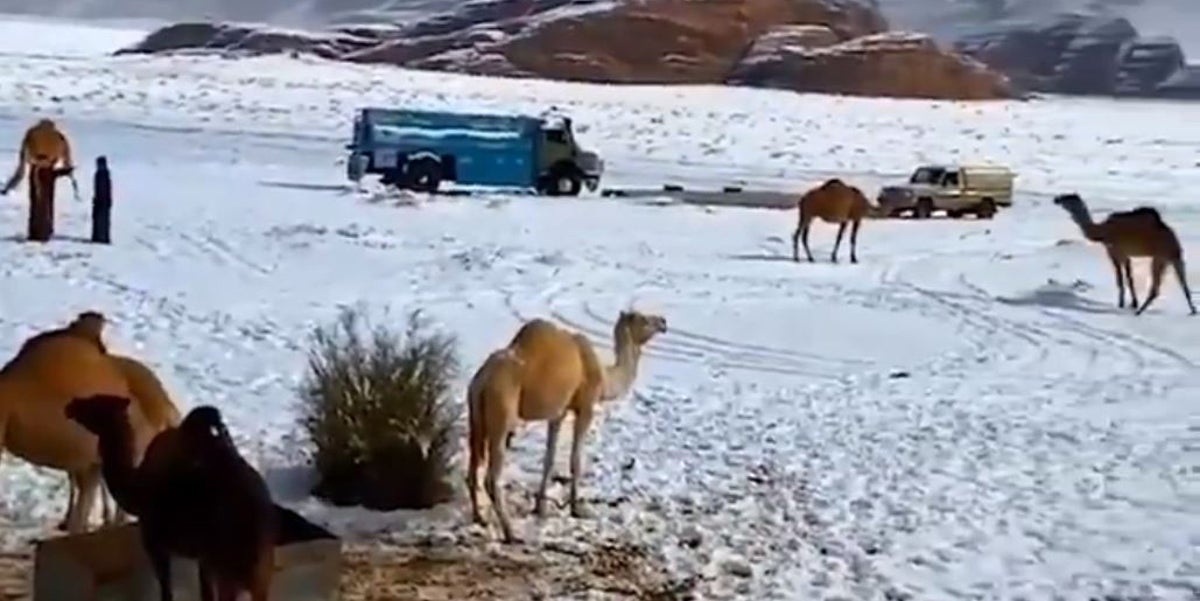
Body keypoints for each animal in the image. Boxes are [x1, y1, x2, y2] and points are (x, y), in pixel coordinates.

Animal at [66, 393, 276, 599]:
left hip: (229, 565)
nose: (72, 405)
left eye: (96, 403)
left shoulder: (157, 546)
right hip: (257, 569)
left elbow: (167, 592)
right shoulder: (202, 558)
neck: (135, 491)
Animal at [463, 309, 667, 539]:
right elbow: (575, 460)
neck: (604, 376)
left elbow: (549, 458)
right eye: (644, 319)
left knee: (473, 464)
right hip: (501, 411)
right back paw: (510, 532)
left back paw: (479, 517)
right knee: (492, 475)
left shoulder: (558, 413)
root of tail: (481, 381)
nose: (663, 322)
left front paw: (540, 508)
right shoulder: (586, 406)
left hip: (475, 416)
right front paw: (576, 509)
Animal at [1056, 193, 1195, 316]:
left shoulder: (1115, 252)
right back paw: (1193, 310)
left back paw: (1139, 312)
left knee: (1156, 288)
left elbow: (1120, 280)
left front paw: (1122, 304)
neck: (1102, 232)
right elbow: (1129, 278)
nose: (1056, 199)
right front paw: (1133, 303)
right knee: (1184, 284)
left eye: (1068, 197)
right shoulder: (1126, 256)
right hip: (1174, 258)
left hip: (1160, 257)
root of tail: (1173, 239)